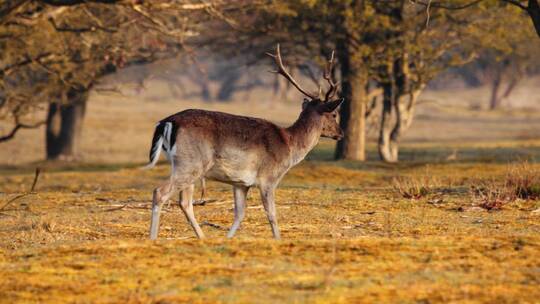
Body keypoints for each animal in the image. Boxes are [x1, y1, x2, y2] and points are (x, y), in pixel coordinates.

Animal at [146, 44, 344, 240]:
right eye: (334, 114)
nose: (340, 133)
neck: (289, 145)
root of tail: (166, 122)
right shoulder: (268, 178)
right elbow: (272, 214)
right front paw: (278, 240)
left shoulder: (241, 183)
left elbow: (240, 214)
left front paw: (228, 239)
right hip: (191, 163)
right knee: (160, 192)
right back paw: (153, 238)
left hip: (186, 166)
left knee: (185, 202)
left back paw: (202, 238)